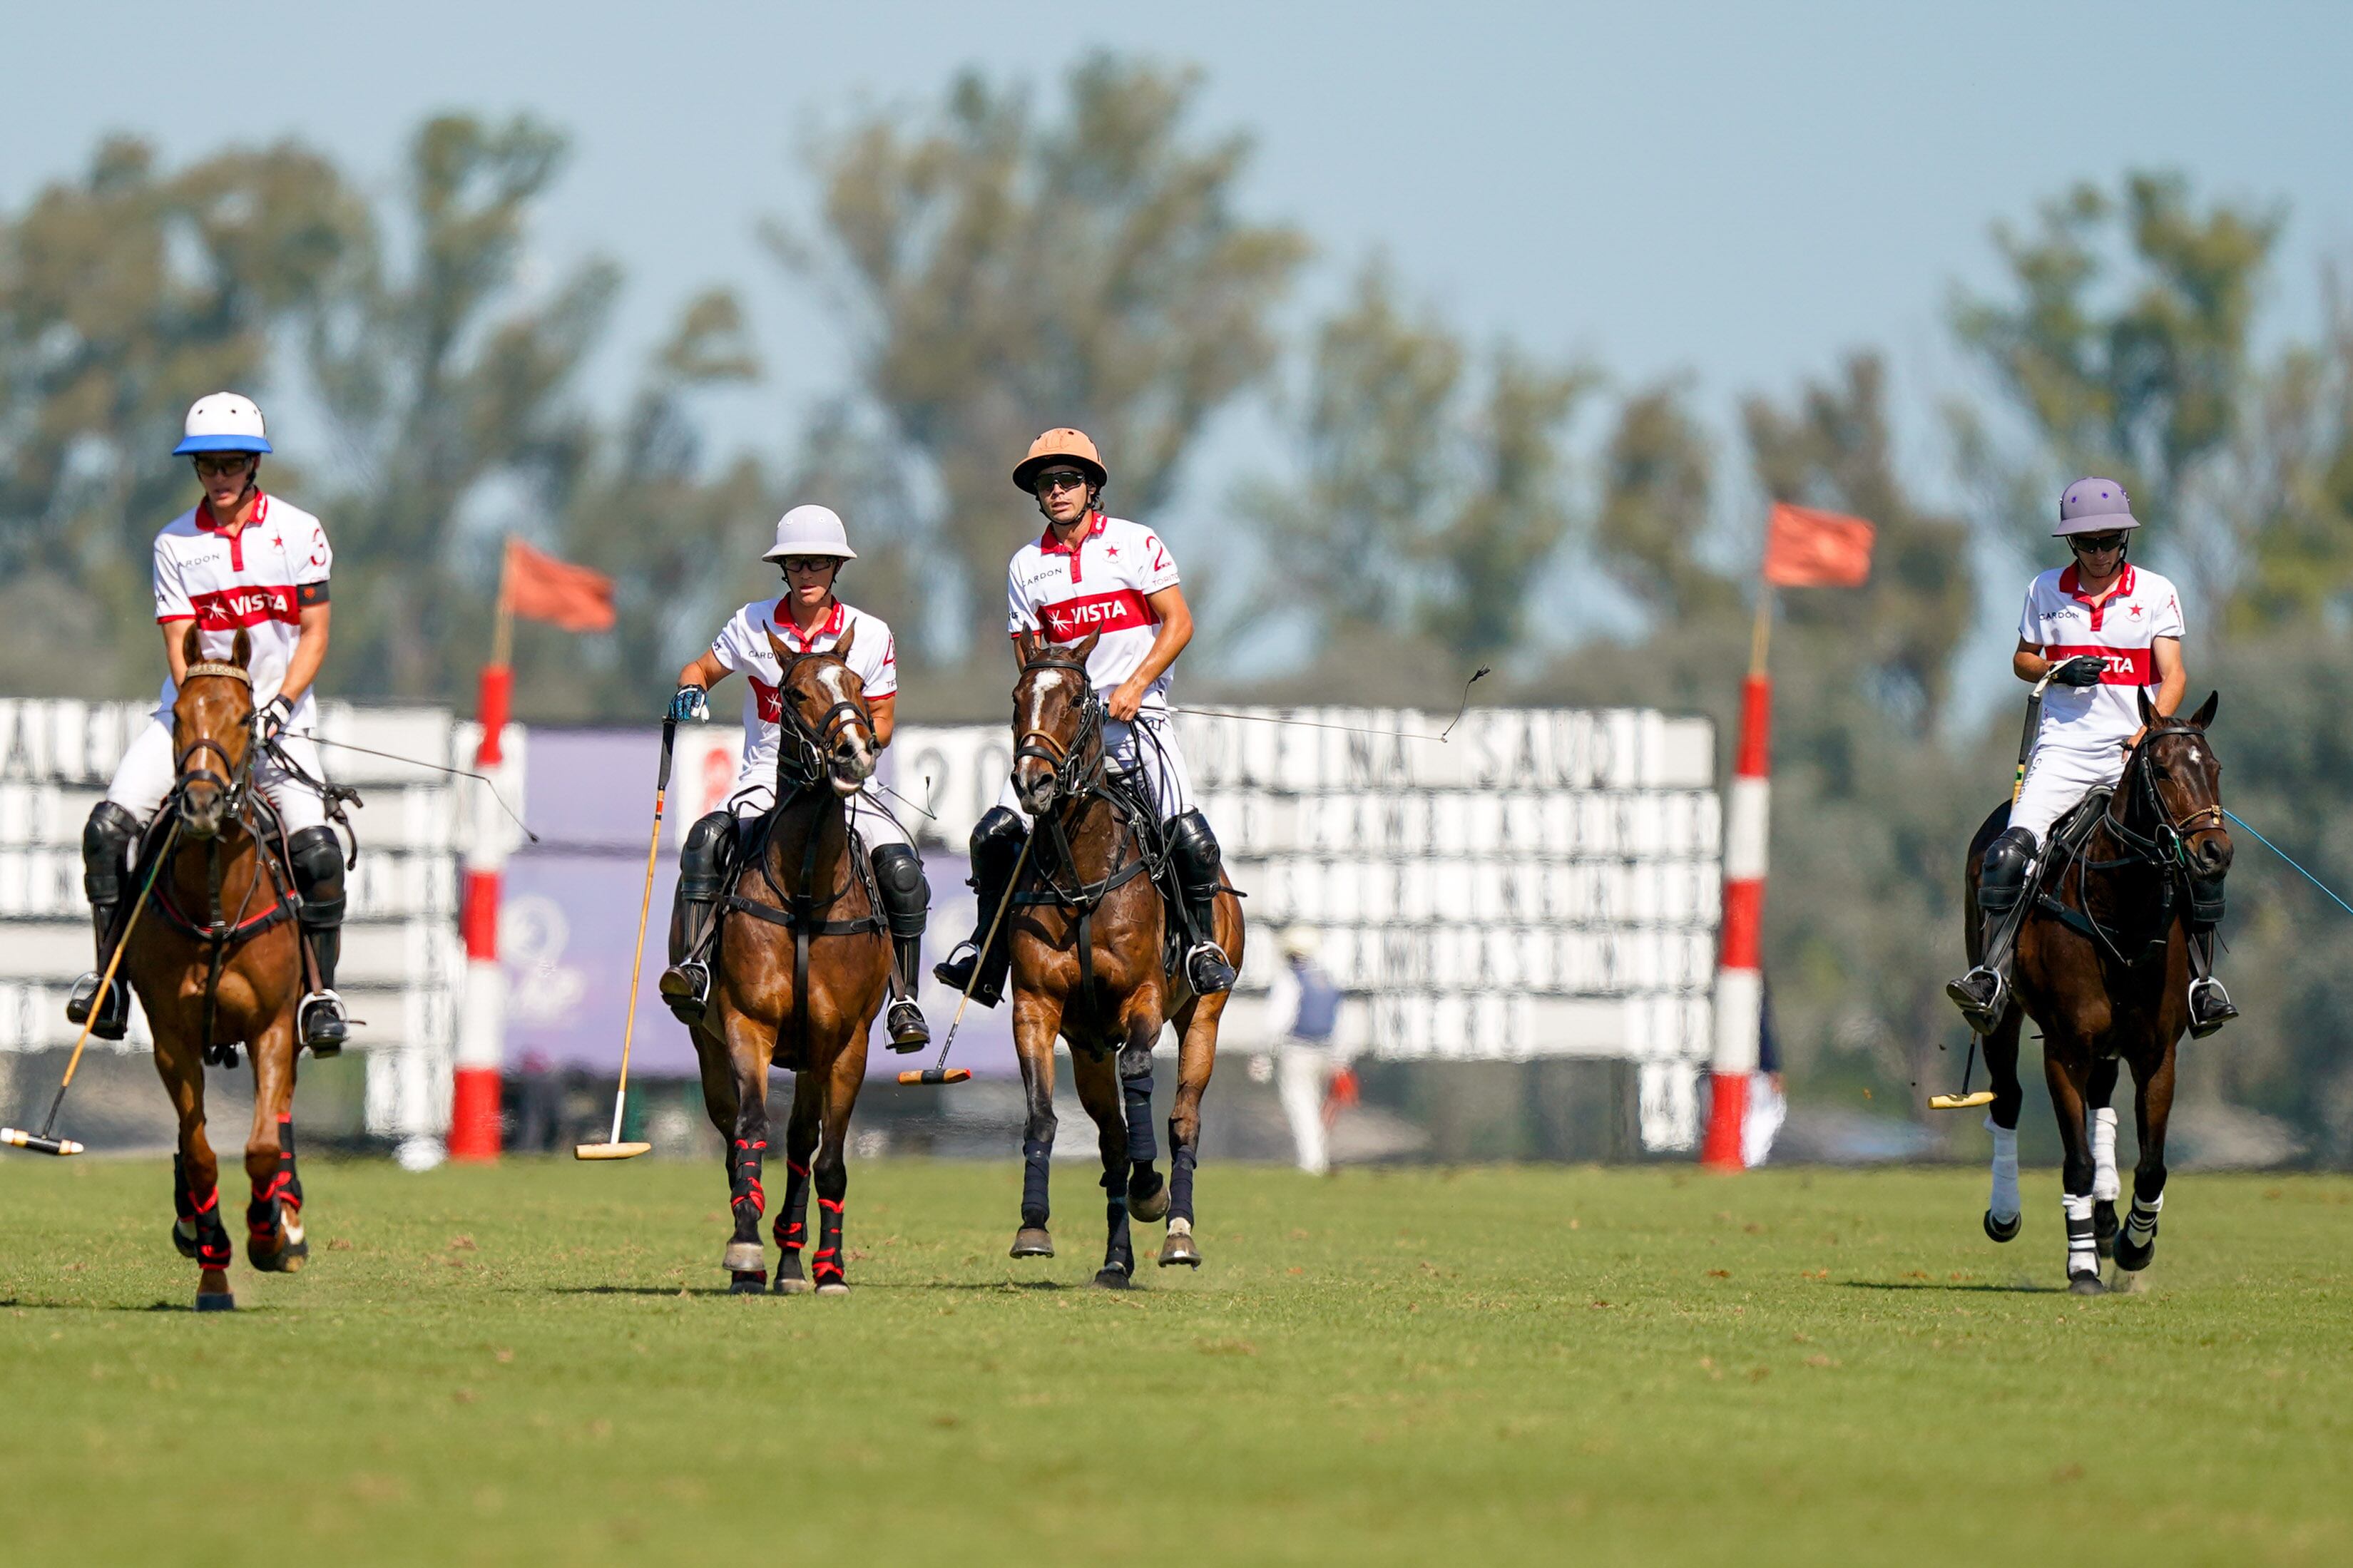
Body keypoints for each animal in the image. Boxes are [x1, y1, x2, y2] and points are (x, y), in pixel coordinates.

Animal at [125, 630, 322, 1316]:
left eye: (243, 717)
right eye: (181, 715)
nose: (204, 802)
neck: (215, 895)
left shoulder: (272, 1026)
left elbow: (261, 1145)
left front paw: (268, 1235)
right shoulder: (172, 1038)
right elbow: (202, 1153)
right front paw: (213, 1269)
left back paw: (288, 1220)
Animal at [691, 625, 894, 1297]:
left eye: (857, 682)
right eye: (795, 692)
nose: (854, 752)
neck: (805, 883)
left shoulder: (846, 1040)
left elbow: (826, 1157)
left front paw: (829, 1268)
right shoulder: (745, 1024)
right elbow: (752, 1128)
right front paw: (745, 1247)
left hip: (812, 1056)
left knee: (803, 1141)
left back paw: (791, 1259)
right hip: (708, 1045)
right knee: (732, 1130)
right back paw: (758, 1260)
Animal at [997, 630, 1242, 1297]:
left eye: (1077, 698)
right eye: (1018, 697)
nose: (1033, 781)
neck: (1082, 872)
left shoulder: (1143, 999)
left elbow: (1140, 1077)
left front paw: (1151, 1190)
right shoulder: (1037, 1006)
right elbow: (1041, 1111)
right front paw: (1033, 1223)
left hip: (1203, 1014)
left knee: (1183, 1117)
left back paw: (1177, 1230)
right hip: (1087, 1048)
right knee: (1109, 1140)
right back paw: (1115, 1261)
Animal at [1966, 691, 2221, 1297]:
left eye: (2215, 768)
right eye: (2161, 769)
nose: (2213, 853)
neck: (2120, 904)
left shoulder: (2157, 1052)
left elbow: (2151, 1164)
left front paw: (2134, 1242)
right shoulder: (2063, 1048)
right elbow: (2074, 1161)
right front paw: (2081, 1264)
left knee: (2101, 1096)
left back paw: (2106, 1218)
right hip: (2004, 1013)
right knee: (2006, 1096)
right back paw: (2007, 1214)